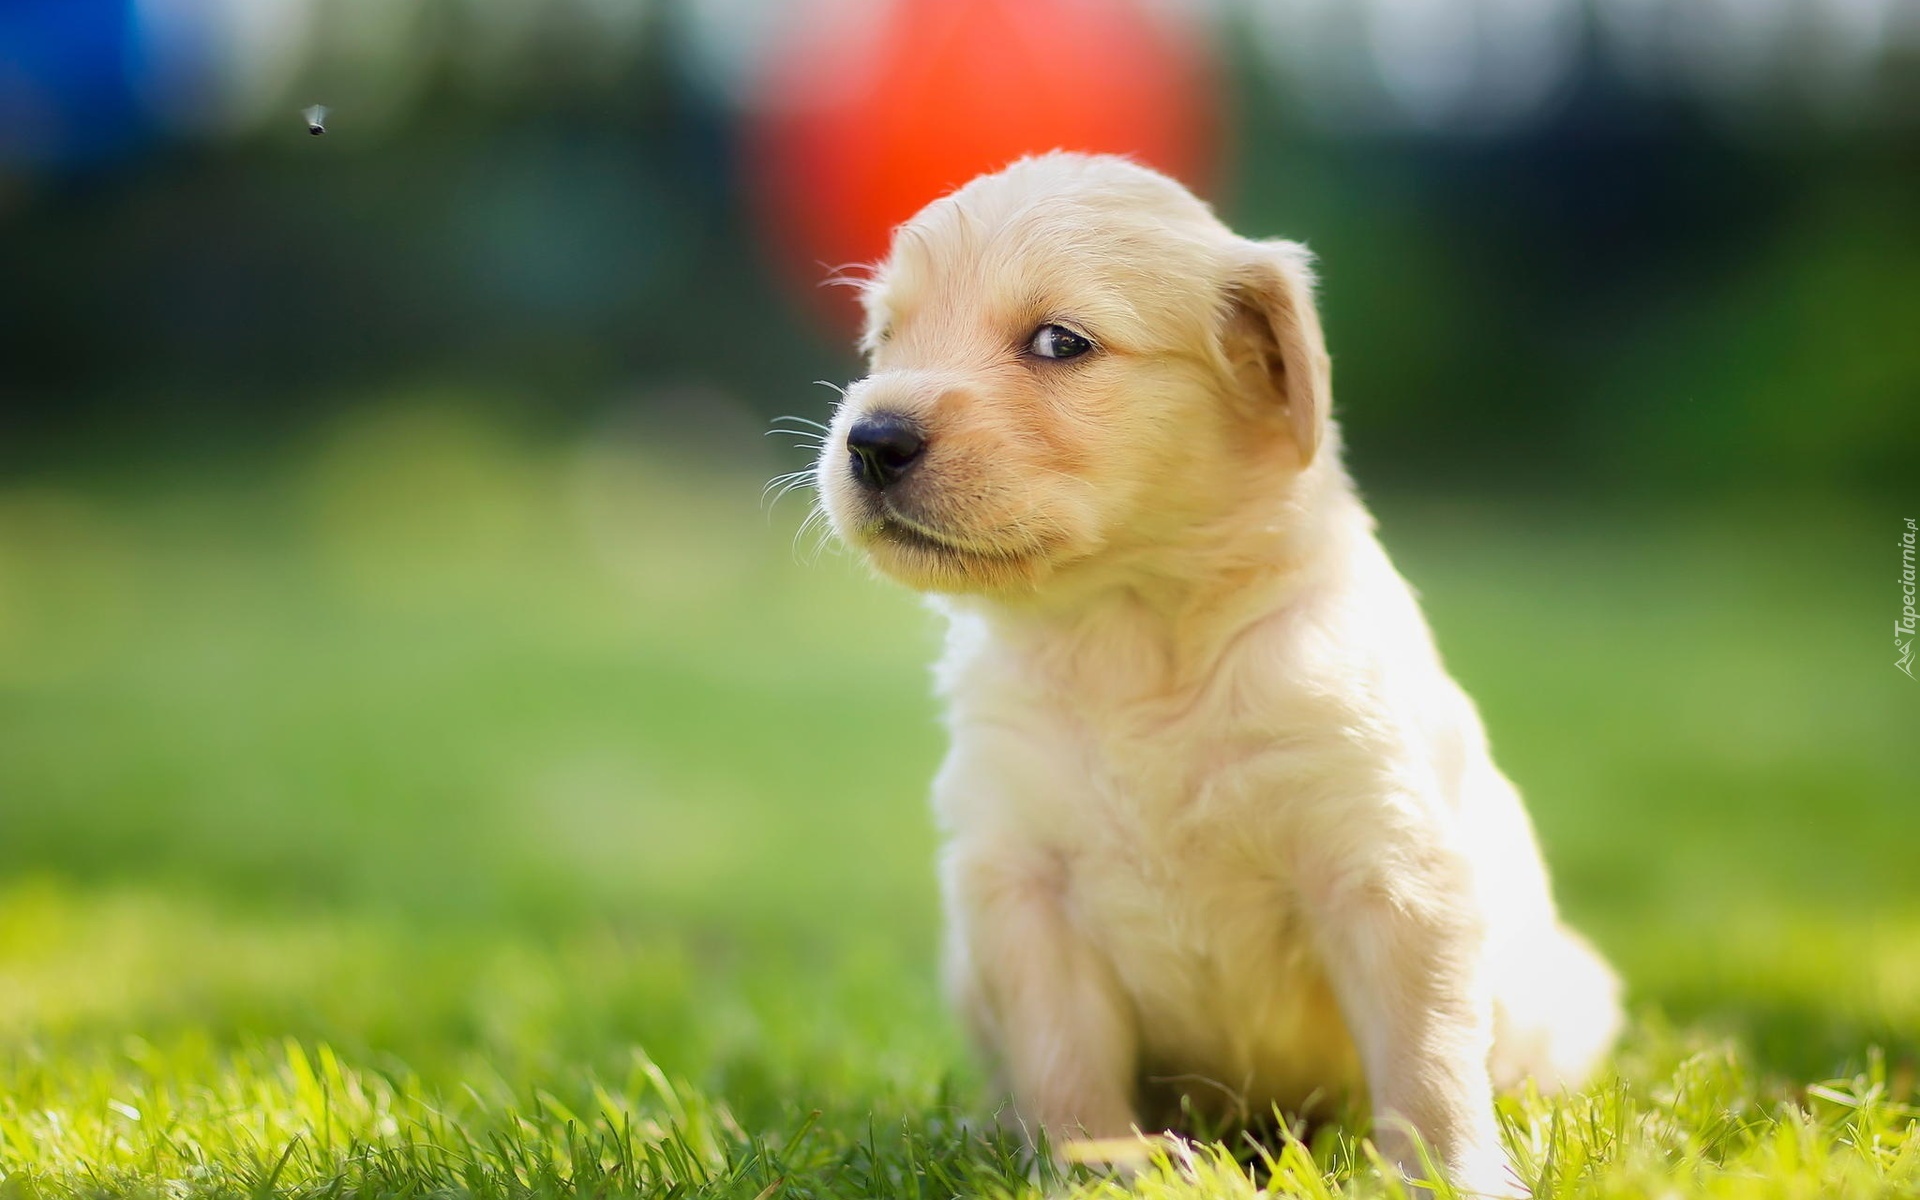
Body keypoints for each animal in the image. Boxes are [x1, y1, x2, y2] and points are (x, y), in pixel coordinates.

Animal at [810, 154, 1620, 1190]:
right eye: (884, 338)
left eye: (1060, 342)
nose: (870, 440)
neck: (1130, 634)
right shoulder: (1021, 882)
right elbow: (1062, 1058)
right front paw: (1102, 1166)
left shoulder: (1387, 871)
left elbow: (1429, 1060)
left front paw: (1453, 1177)